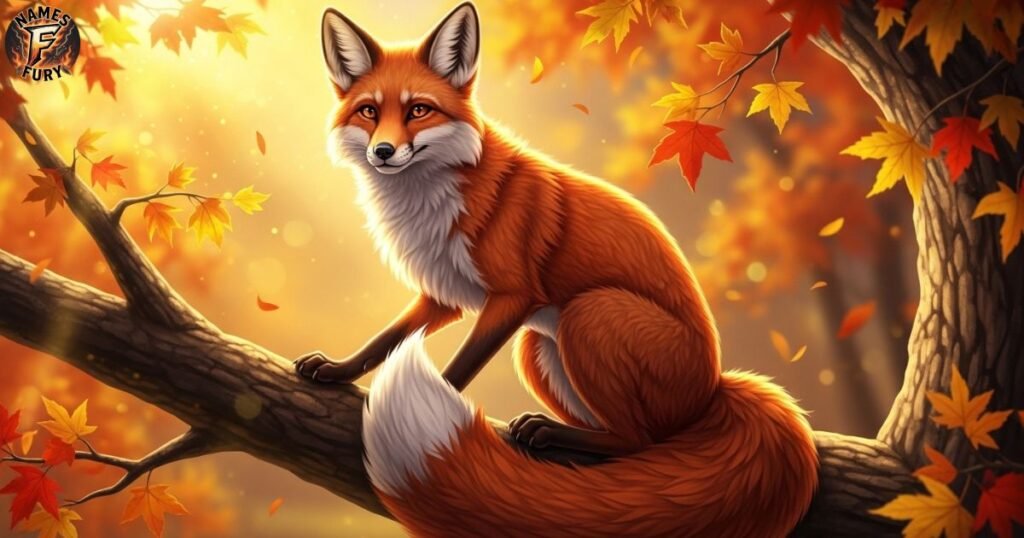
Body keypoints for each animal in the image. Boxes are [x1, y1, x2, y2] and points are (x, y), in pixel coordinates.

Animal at [294, 3, 818, 537]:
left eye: (419, 110)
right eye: (369, 112)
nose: (382, 152)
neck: (429, 198)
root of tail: (713, 390)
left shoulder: (512, 296)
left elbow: (456, 369)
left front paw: (430, 400)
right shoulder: (442, 294)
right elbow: (384, 340)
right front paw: (338, 370)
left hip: (590, 313)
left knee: (641, 440)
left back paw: (554, 434)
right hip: (538, 345)